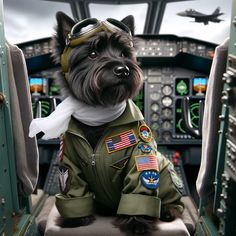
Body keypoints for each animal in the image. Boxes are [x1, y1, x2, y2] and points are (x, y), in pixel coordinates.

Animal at [50, 12, 183, 235]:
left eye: (123, 53)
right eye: (92, 53)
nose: (123, 70)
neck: (99, 114)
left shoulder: (140, 155)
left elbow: (138, 190)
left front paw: (137, 223)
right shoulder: (69, 164)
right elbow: (75, 191)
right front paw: (75, 220)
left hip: (166, 174)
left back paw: (167, 210)